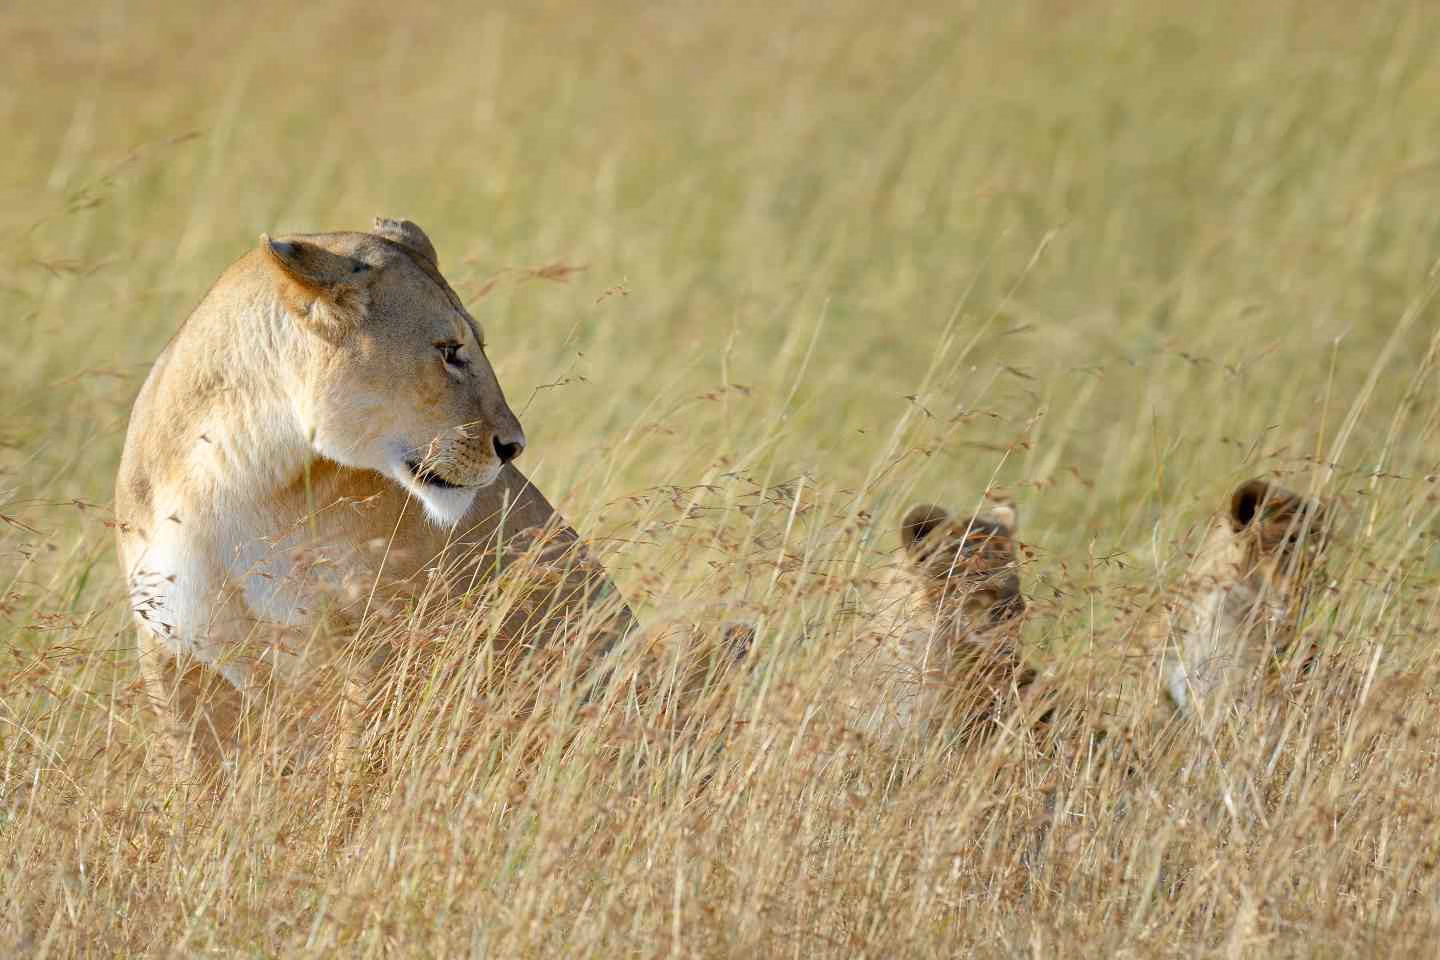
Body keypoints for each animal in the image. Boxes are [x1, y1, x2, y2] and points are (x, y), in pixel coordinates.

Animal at [114, 217, 636, 780]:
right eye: (448, 350)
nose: (513, 446)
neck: (236, 475)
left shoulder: (377, 645)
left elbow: (355, 769)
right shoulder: (170, 643)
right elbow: (192, 772)